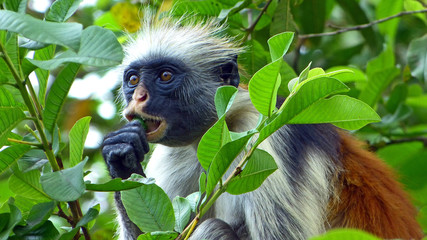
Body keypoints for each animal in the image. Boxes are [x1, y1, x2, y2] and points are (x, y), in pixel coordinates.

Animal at [101, 17, 424, 239]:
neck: (222, 131)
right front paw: (123, 159)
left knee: (214, 229)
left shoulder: (267, 139)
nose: (139, 97)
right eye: (133, 80)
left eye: (165, 76)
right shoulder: (178, 156)